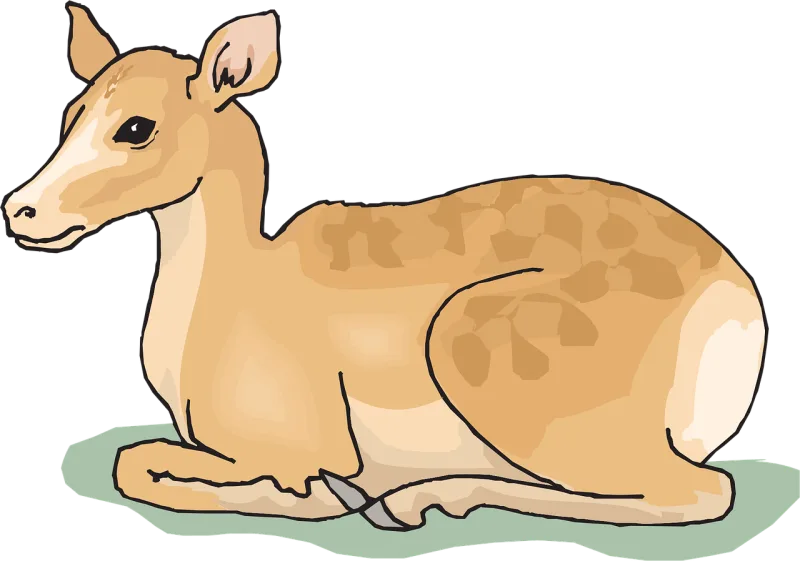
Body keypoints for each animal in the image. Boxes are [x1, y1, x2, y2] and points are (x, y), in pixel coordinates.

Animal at [5, 7, 766, 531]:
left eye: (136, 127)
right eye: (73, 113)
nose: (22, 210)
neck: (231, 294)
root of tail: (733, 299)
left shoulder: (296, 445)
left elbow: (141, 465)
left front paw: (319, 496)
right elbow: (135, 460)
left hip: (485, 356)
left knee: (704, 490)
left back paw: (418, 499)